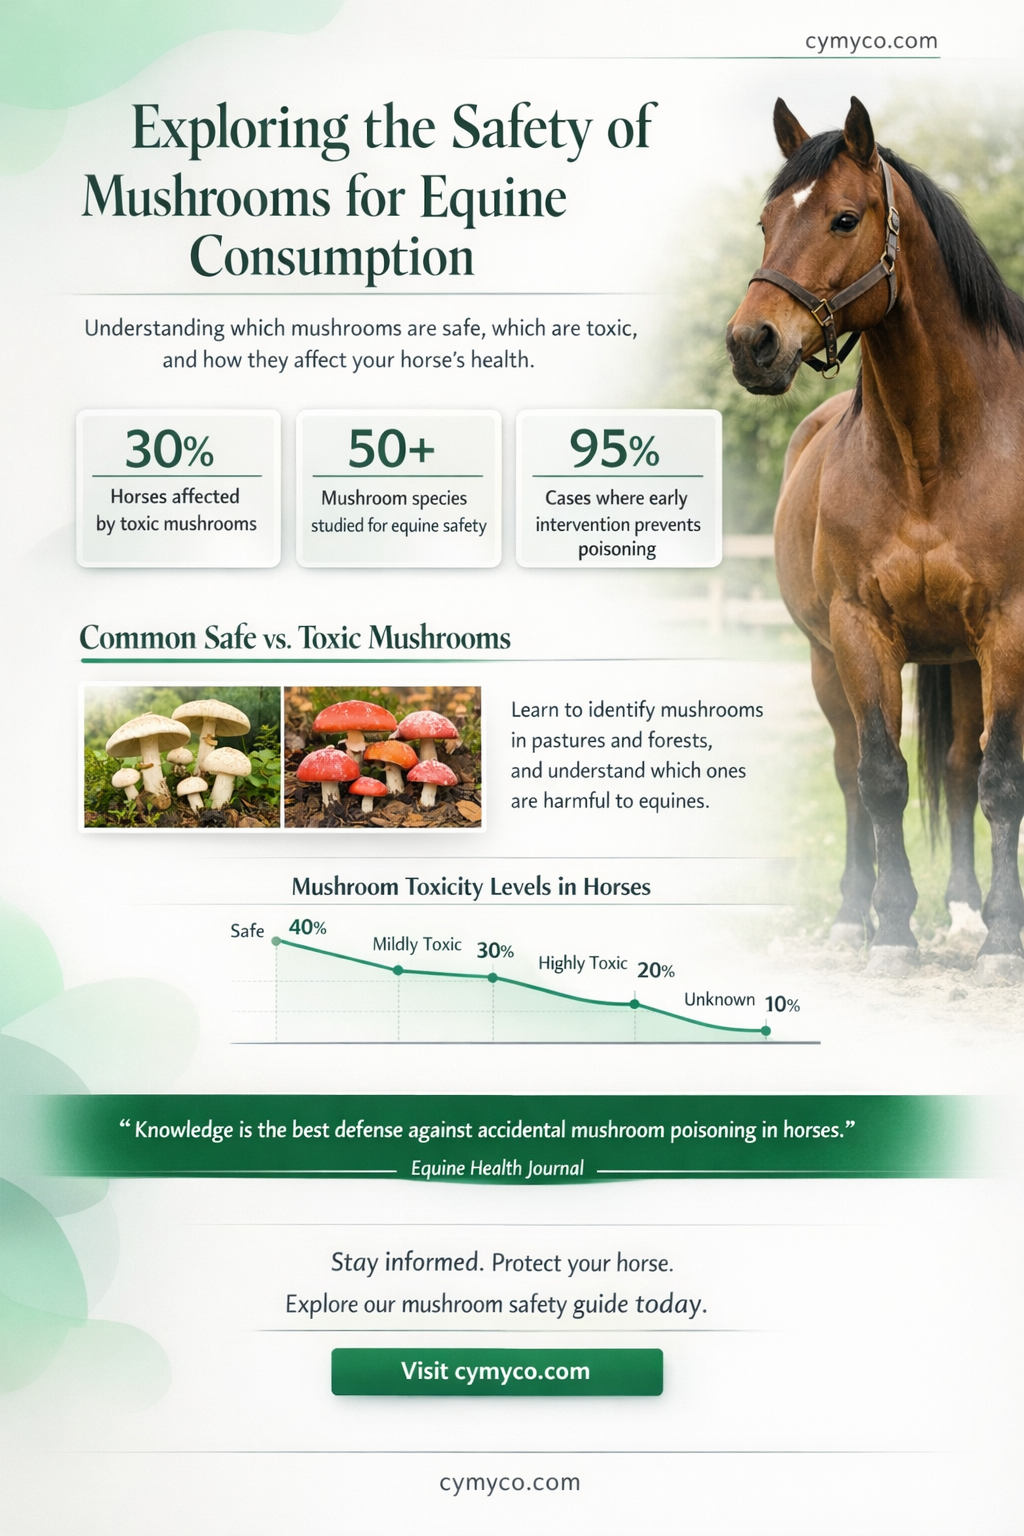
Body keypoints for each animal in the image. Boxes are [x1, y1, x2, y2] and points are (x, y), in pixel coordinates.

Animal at [726, 97, 1024, 982]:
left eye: (843, 218)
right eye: (766, 222)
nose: (752, 344)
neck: (934, 454)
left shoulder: (1008, 630)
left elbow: (1000, 780)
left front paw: (1003, 937)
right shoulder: (862, 632)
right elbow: (882, 777)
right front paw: (891, 930)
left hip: (962, 660)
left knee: (960, 771)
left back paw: (967, 914)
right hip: (827, 662)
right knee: (850, 776)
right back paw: (852, 917)